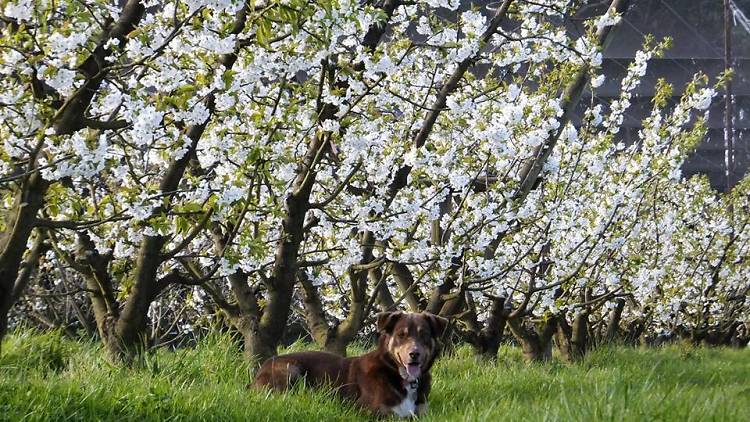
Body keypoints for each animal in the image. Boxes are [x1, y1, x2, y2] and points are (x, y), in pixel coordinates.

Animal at [253, 312, 450, 418]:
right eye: (401, 335)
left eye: (424, 334)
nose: (414, 354)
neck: (396, 373)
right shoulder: (370, 411)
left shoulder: (423, 413)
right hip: (290, 369)